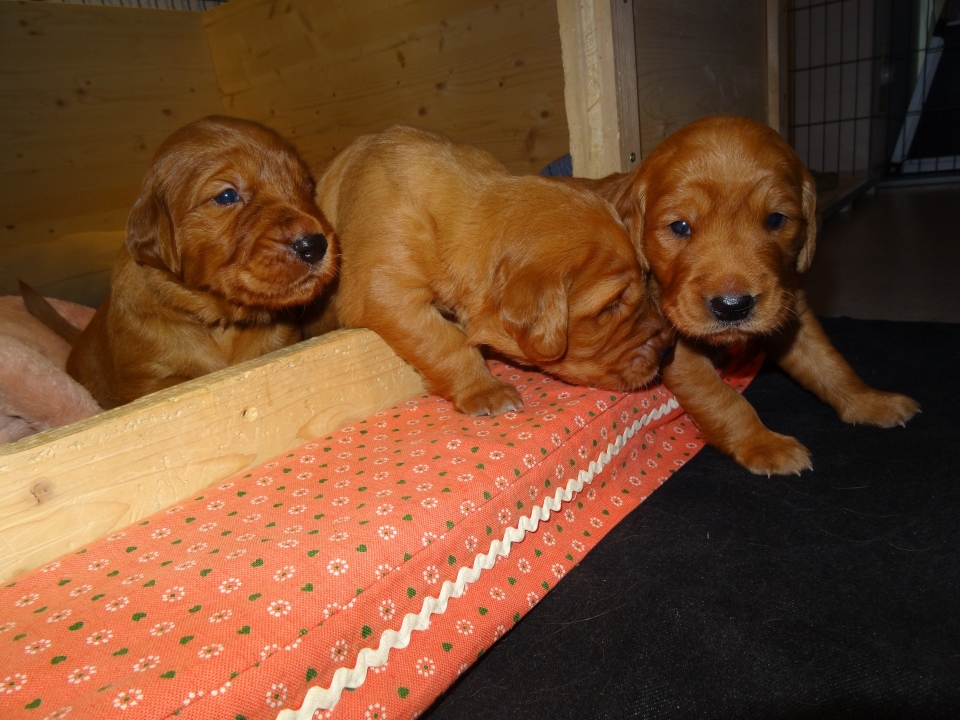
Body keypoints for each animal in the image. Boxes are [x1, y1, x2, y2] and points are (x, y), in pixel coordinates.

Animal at [568, 115, 920, 476]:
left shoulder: (789, 308)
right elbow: (723, 399)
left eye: (776, 219)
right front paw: (762, 443)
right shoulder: (675, 343)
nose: (732, 307)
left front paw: (869, 401)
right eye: (679, 227)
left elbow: (829, 363)